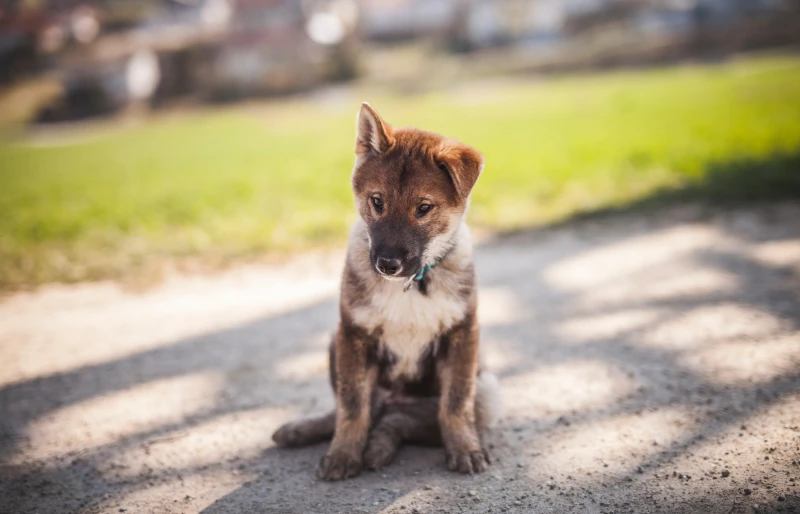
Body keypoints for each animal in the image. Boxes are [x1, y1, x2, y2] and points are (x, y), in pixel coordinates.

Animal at [276, 102, 500, 478]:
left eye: (424, 208)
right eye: (377, 202)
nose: (387, 264)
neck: (409, 285)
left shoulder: (462, 334)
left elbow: (455, 404)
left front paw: (465, 449)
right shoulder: (353, 334)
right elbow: (352, 408)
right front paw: (343, 454)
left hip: (487, 390)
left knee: (403, 422)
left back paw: (380, 446)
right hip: (336, 345)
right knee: (356, 412)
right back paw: (301, 430)